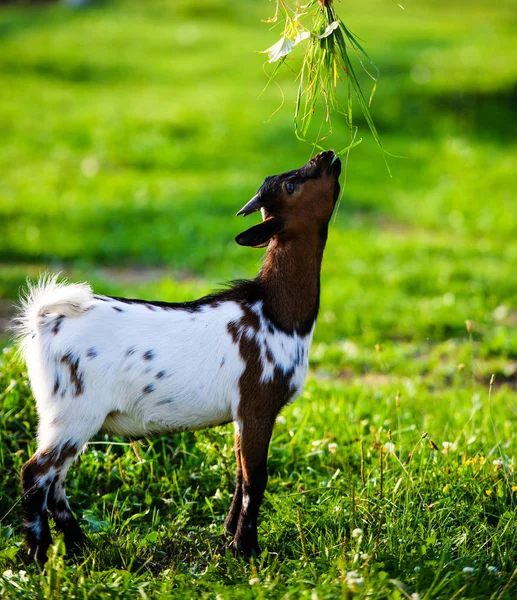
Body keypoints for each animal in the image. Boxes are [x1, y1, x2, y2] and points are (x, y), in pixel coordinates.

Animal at [15, 150, 338, 564]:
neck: (276, 311)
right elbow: (256, 478)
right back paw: (38, 555)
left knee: (53, 481)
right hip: (73, 413)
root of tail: (44, 319)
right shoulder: (258, 404)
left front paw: (228, 539)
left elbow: (238, 475)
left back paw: (80, 548)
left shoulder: (240, 414)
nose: (326, 155)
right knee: (36, 474)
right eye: (292, 185)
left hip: (55, 416)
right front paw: (247, 550)